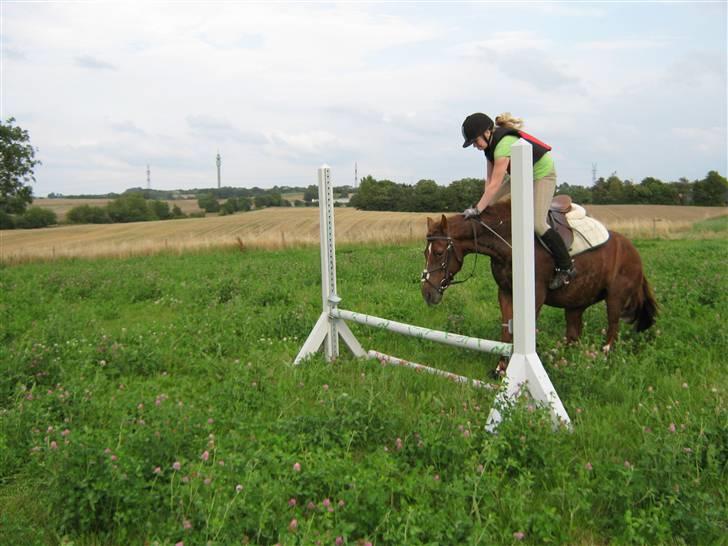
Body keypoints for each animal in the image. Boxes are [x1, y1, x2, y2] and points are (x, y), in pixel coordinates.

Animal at [418, 201, 656, 374]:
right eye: (424, 253)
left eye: (438, 252)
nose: (427, 293)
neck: (508, 242)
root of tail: (633, 251)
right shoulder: (506, 292)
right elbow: (506, 331)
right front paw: (500, 369)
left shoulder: (535, 295)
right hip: (575, 304)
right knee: (574, 336)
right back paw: (567, 364)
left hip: (615, 299)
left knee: (612, 329)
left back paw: (602, 361)